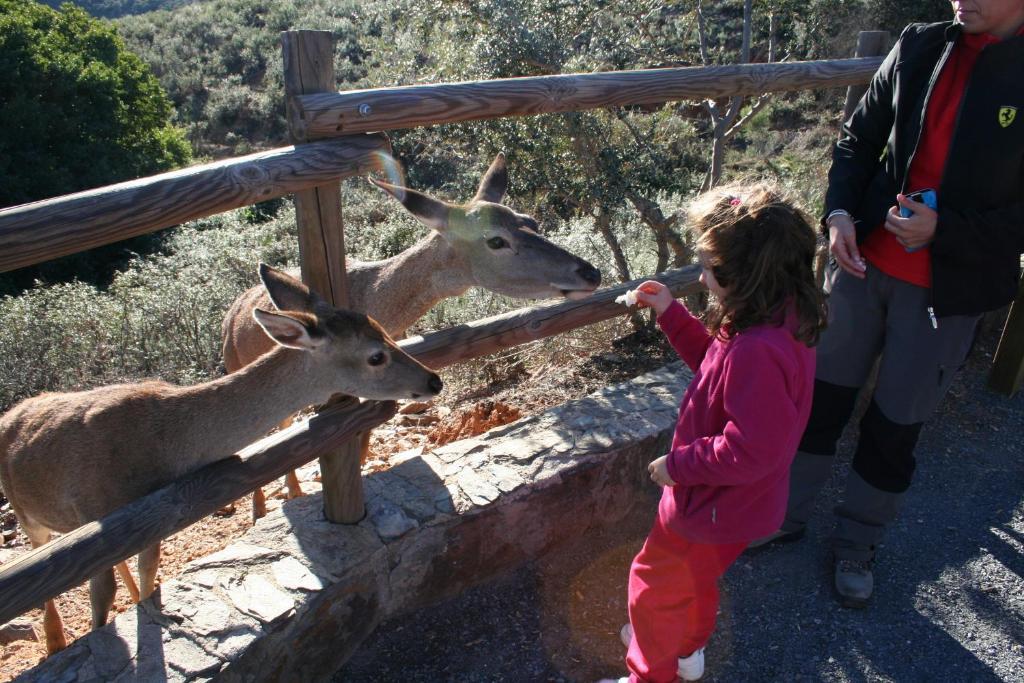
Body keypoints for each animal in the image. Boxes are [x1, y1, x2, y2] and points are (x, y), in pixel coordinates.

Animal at [0, 264, 440, 655]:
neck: (162, 446)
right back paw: (55, 642)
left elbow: (147, 570)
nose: (433, 380)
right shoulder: (96, 512)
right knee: (40, 565)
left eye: (382, 329)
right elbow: (99, 598)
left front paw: (151, 609)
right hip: (26, 511)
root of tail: (10, 417)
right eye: (375, 356)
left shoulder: (144, 523)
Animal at [224, 153, 598, 518]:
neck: (372, 298)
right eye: (495, 240)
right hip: (235, 366)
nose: (590, 272)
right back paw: (263, 505)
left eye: (530, 221)